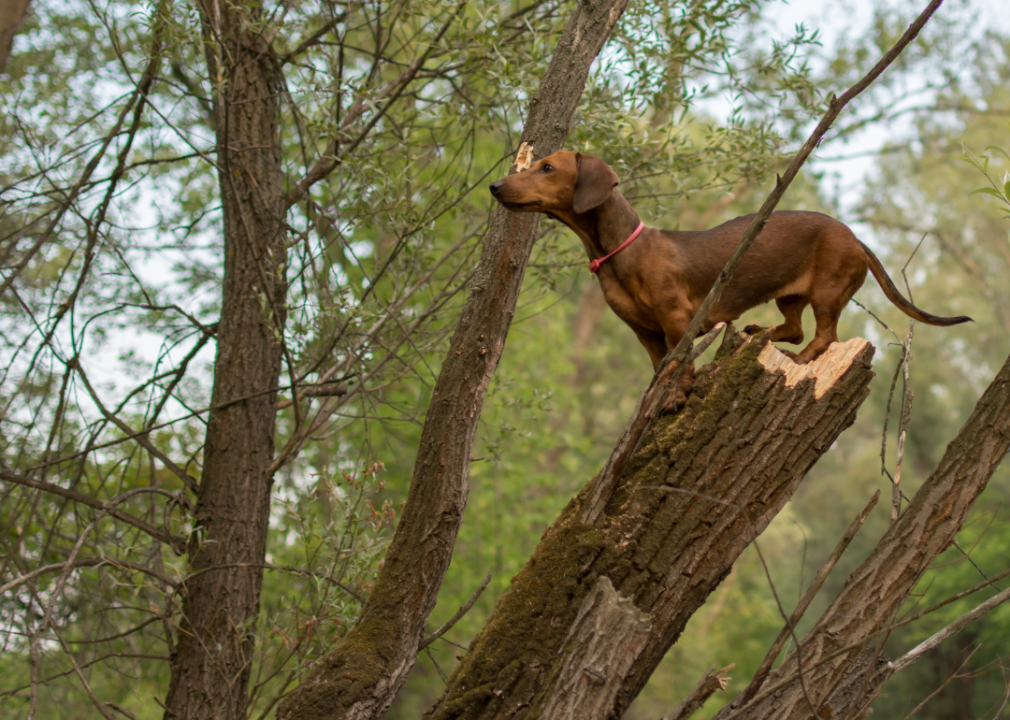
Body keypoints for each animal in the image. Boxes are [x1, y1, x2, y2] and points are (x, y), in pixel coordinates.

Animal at [488, 148, 969, 407]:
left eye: (548, 168)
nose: (495, 186)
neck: (620, 250)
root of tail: (856, 237)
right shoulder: (646, 332)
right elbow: (659, 366)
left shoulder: (677, 321)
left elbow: (681, 363)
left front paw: (677, 395)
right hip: (790, 295)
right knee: (794, 328)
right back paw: (762, 332)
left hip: (828, 291)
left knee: (823, 337)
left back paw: (799, 361)